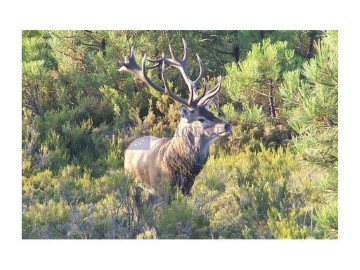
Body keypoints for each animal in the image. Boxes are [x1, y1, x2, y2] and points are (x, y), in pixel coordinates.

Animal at [118, 39, 231, 197]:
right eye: (200, 119)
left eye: (212, 113)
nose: (227, 125)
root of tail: (129, 147)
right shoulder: (161, 190)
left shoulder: (187, 189)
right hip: (133, 182)